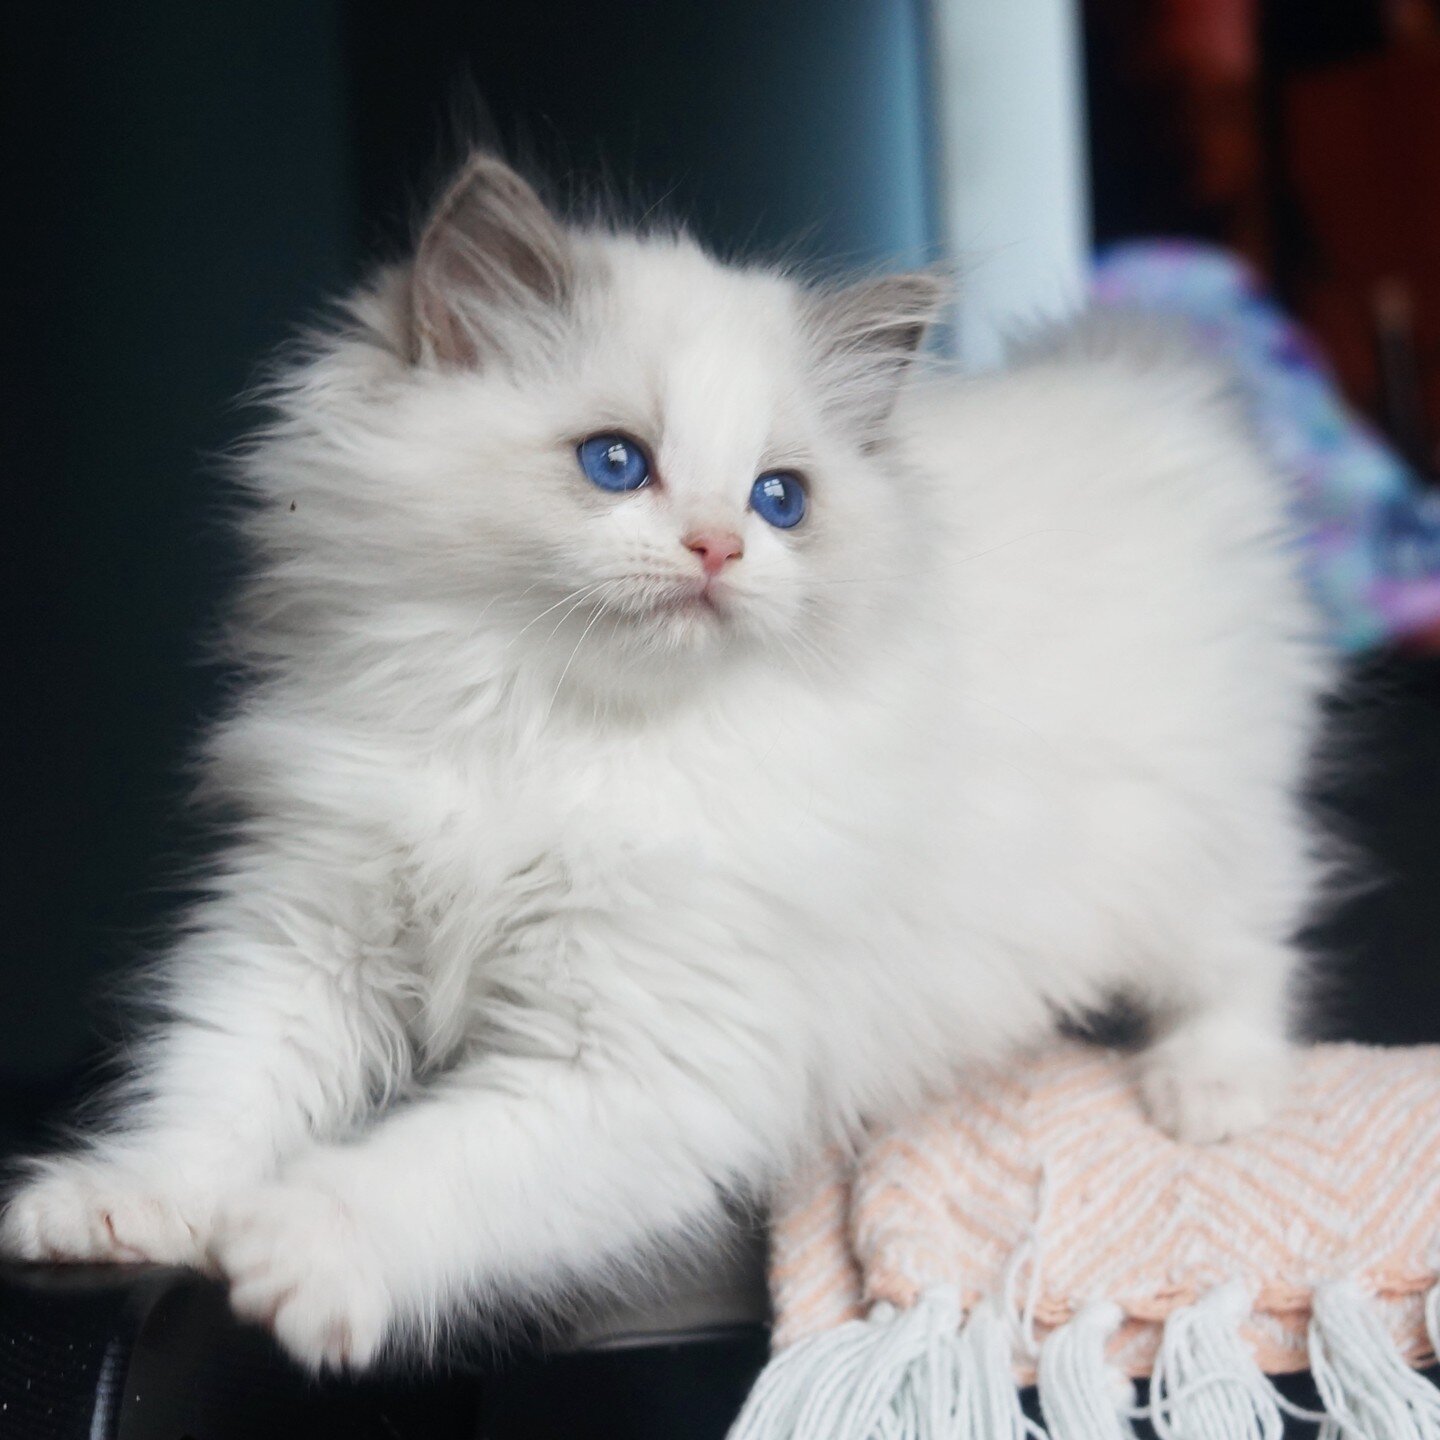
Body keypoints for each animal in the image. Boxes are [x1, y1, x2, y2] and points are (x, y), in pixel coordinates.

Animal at [0, 154, 1330, 1370]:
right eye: (615, 464)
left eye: (780, 499)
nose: (718, 547)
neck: (550, 730)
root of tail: (1142, 385)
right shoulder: (309, 936)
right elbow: (215, 1084)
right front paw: (124, 1206)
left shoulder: (639, 1059)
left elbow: (436, 1169)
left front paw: (294, 1251)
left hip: (1199, 845)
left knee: (1246, 953)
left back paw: (1209, 1095)